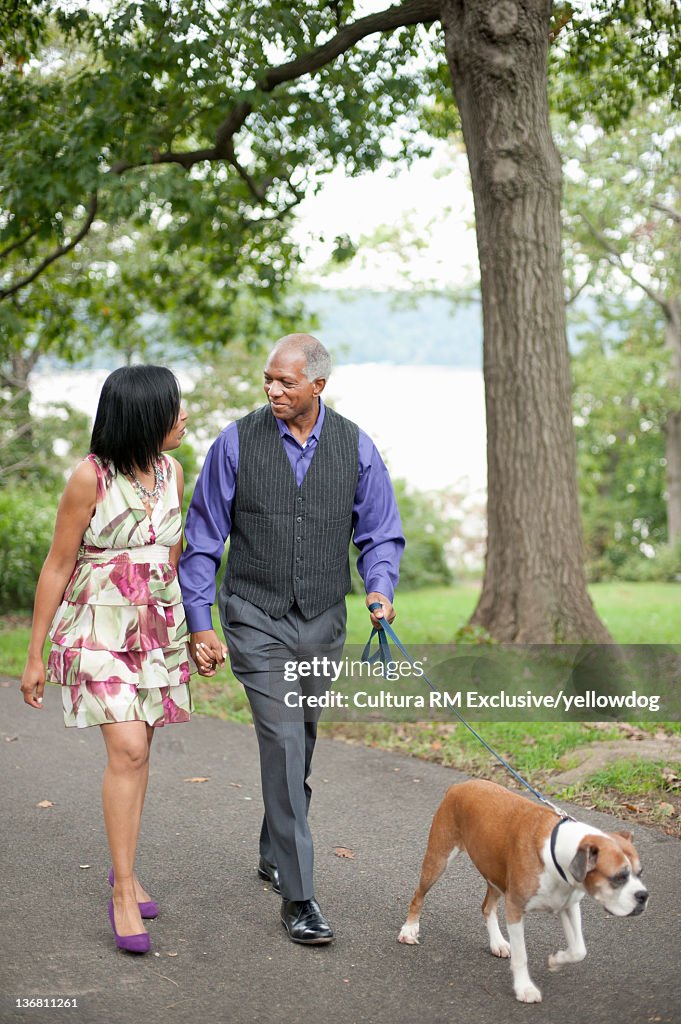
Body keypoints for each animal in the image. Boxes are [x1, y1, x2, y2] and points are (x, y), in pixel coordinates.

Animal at [395, 778, 647, 1003]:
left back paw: (497, 943)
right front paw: (525, 988)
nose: (643, 896)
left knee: (487, 907)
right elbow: (521, 956)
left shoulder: (568, 906)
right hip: (438, 859)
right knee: (418, 895)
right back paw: (409, 930)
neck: (558, 852)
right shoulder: (515, 909)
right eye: (619, 877)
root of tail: (460, 785)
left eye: (640, 872)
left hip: (495, 874)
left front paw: (556, 960)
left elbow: (579, 950)